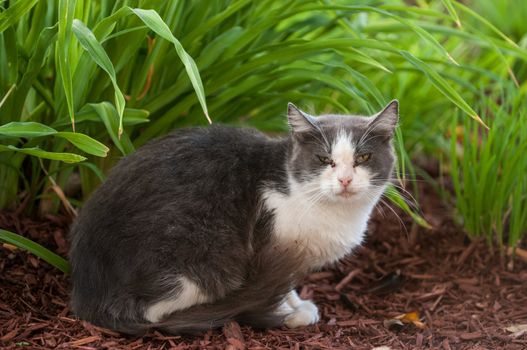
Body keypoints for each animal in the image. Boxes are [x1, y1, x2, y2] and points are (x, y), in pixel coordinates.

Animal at [68, 100, 398, 334]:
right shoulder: (270, 242)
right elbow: (276, 284)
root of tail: (87, 295)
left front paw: (295, 302)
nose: (345, 180)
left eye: (363, 158)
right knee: (154, 312)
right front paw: (287, 312)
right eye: (323, 159)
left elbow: (285, 283)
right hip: (204, 257)